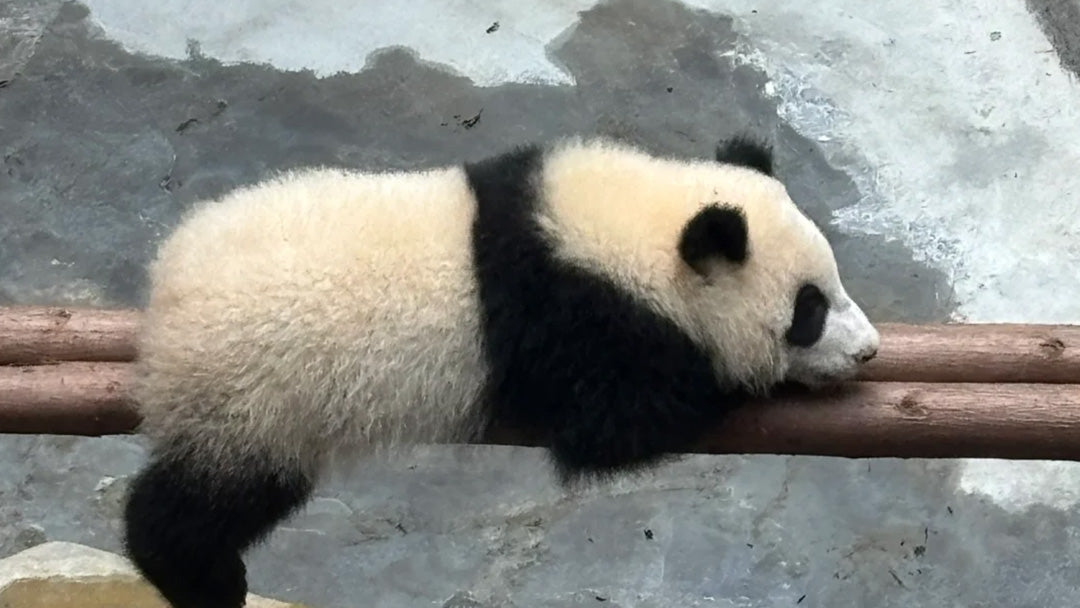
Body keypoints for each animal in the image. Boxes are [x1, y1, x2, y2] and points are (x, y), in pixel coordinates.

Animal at [122, 135, 880, 608]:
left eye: (836, 284)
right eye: (808, 311)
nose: (868, 350)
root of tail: (165, 293)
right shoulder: (570, 321)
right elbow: (611, 430)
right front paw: (729, 378)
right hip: (251, 391)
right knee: (208, 499)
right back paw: (201, 577)